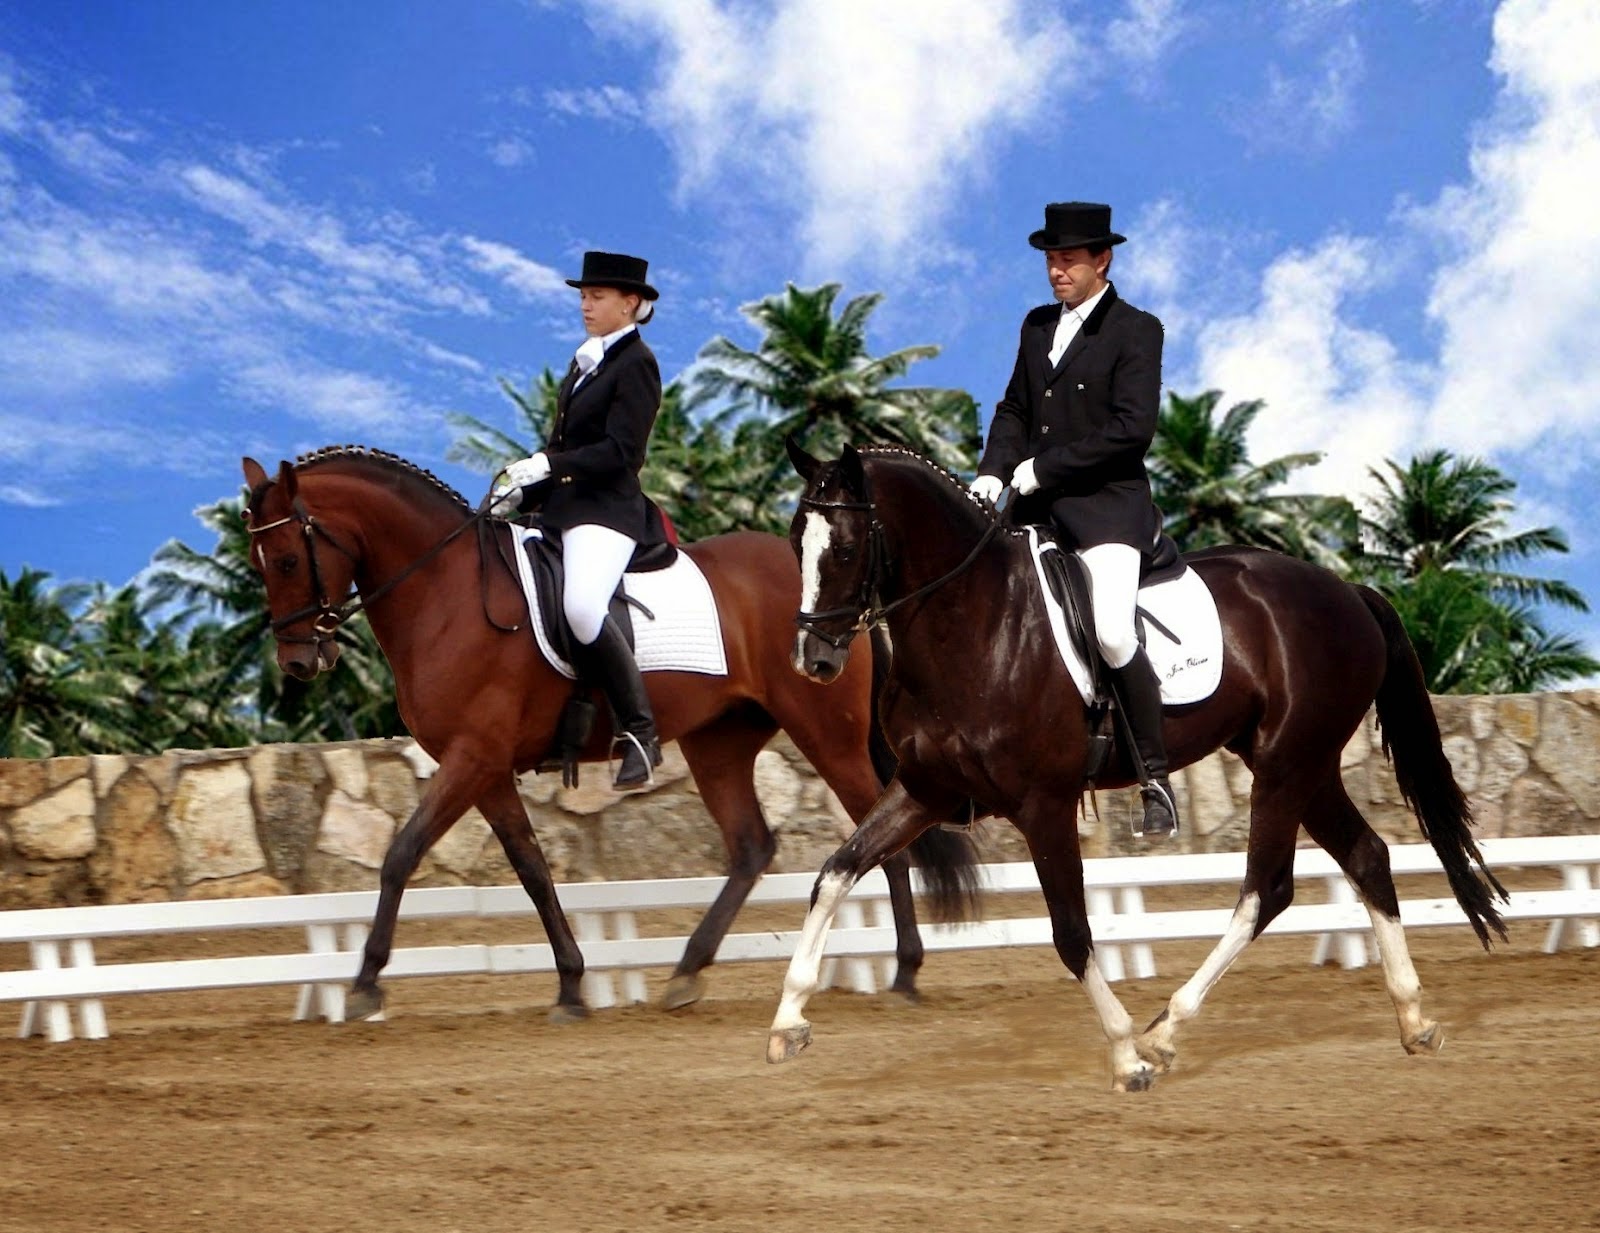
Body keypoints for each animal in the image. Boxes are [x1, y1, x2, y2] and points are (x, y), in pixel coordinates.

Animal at [240, 445, 979, 1022]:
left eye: (286, 560)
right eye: (257, 563)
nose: (299, 662)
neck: (446, 592)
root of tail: (837, 606)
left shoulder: (472, 756)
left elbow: (401, 852)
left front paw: (366, 983)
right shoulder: (486, 766)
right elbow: (532, 869)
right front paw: (571, 983)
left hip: (826, 732)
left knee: (880, 840)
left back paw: (905, 970)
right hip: (719, 741)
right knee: (752, 846)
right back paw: (686, 971)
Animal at [767, 441, 1508, 1091]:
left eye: (844, 546)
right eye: (795, 539)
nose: (814, 660)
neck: (975, 621)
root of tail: (1347, 590)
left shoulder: (1042, 803)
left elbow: (1071, 932)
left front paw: (1127, 1057)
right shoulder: (925, 790)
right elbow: (834, 873)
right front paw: (788, 1023)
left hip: (1285, 766)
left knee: (1266, 890)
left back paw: (1164, 1033)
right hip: (1306, 764)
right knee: (1367, 857)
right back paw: (1414, 1019)